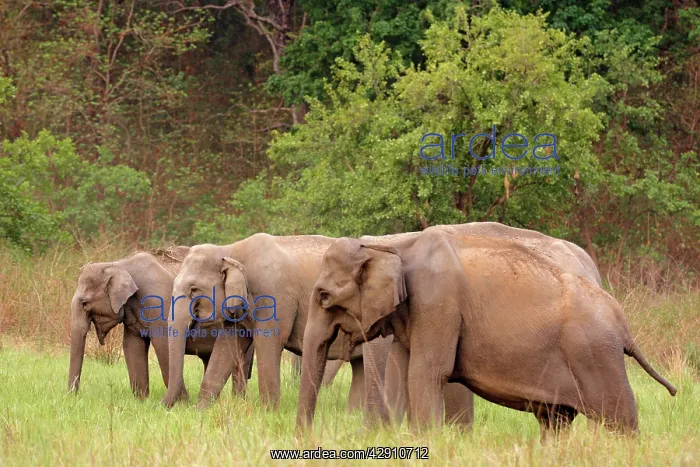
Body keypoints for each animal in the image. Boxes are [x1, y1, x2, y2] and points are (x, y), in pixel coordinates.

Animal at [68, 246, 253, 398]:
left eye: (85, 303)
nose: (73, 397)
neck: (120, 263)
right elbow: (132, 346)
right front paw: (142, 401)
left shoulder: (158, 303)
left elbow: (164, 346)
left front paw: (181, 404)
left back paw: (238, 401)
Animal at [161, 233, 389, 419]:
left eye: (193, 289)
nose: (163, 407)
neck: (231, 250)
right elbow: (227, 348)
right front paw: (199, 413)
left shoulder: (274, 296)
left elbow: (268, 344)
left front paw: (267, 416)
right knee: (360, 367)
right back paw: (352, 416)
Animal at [297, 223, 677, 433]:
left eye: (324, 296)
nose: (307, 436)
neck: (394, 245)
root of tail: (622, 320)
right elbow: (404, 370)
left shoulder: (438, 304)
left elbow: (427, 373)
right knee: (555, 420)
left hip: (595, 354)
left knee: (620, 418)